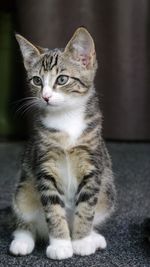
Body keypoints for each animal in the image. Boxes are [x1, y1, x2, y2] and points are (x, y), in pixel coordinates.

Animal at [9, 28, 116, 260]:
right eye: (37, 80)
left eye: (62, 79)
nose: (46, 96)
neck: (66, 119)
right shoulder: (44, 164)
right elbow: (53, 209)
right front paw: (60, 244)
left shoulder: (93, 165)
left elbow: (86, 207)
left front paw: (82, 241)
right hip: (23, 191)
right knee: (25, 220)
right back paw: (22, 240)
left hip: (108, 193)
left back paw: (93, 237)